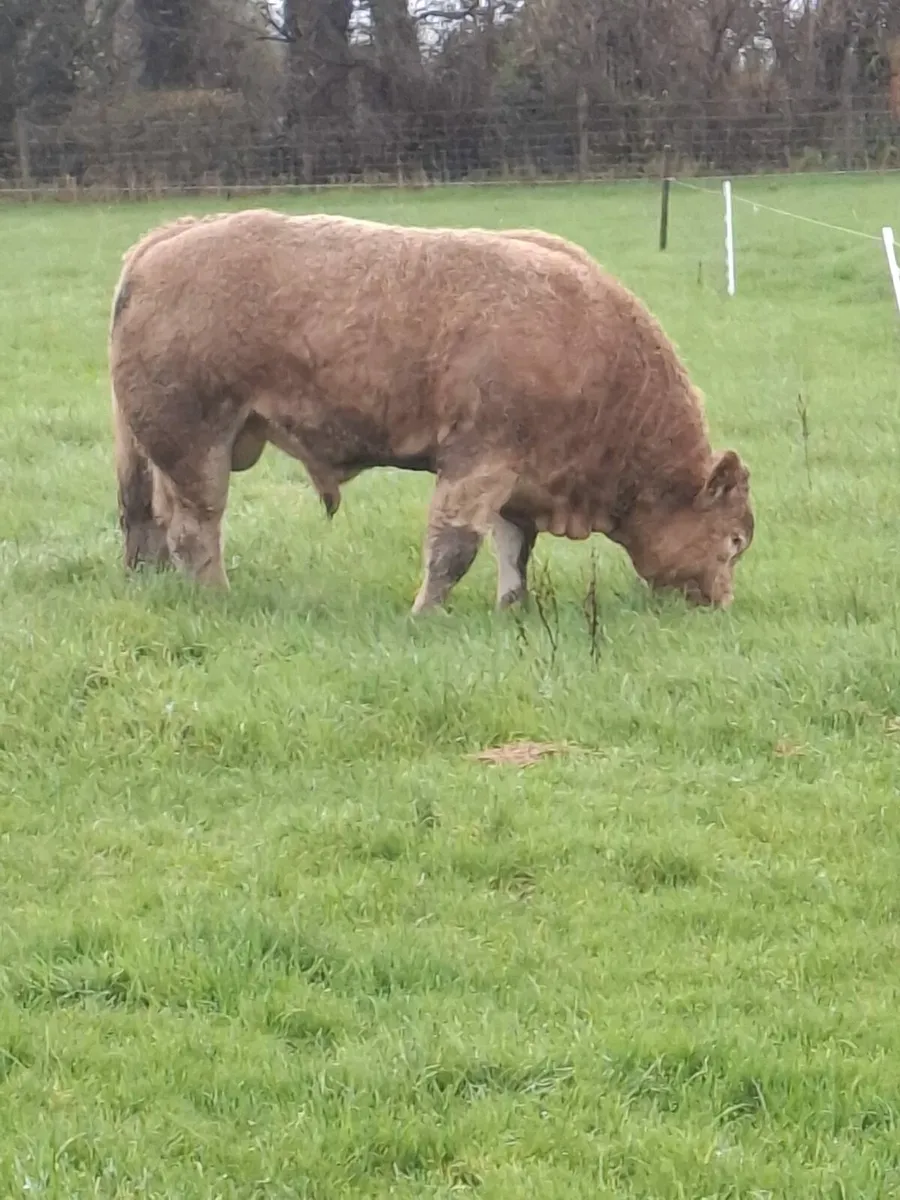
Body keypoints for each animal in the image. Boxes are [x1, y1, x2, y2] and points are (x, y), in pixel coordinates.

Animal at [108, 208, 754, 613]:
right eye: (734, 541)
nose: (720, 603)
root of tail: (168, 239)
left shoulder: (519, 479)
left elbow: (513, 550)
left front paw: (512, 609)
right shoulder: (478, 462)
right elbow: (453, 549)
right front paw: (425, 613)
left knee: (147, 521)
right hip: (195, 447)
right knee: (194, 527)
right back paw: (216, 595)